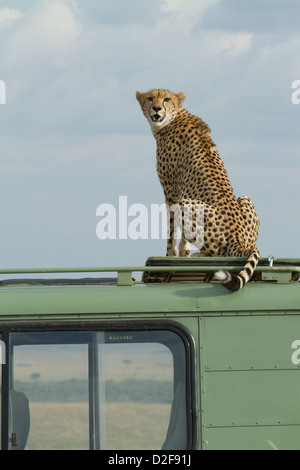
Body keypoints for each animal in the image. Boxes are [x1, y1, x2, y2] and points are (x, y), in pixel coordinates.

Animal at [137, 88, 260, 292]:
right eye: (149, 98)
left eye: (166, 99)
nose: (156, 108)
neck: (174, 117)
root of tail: (239, 239)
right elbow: (182, 238)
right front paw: (183, 254)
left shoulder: (172, 194)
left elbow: (171, 230)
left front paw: (170, 255)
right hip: (245, 198)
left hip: (186, 204)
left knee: (216, 254)